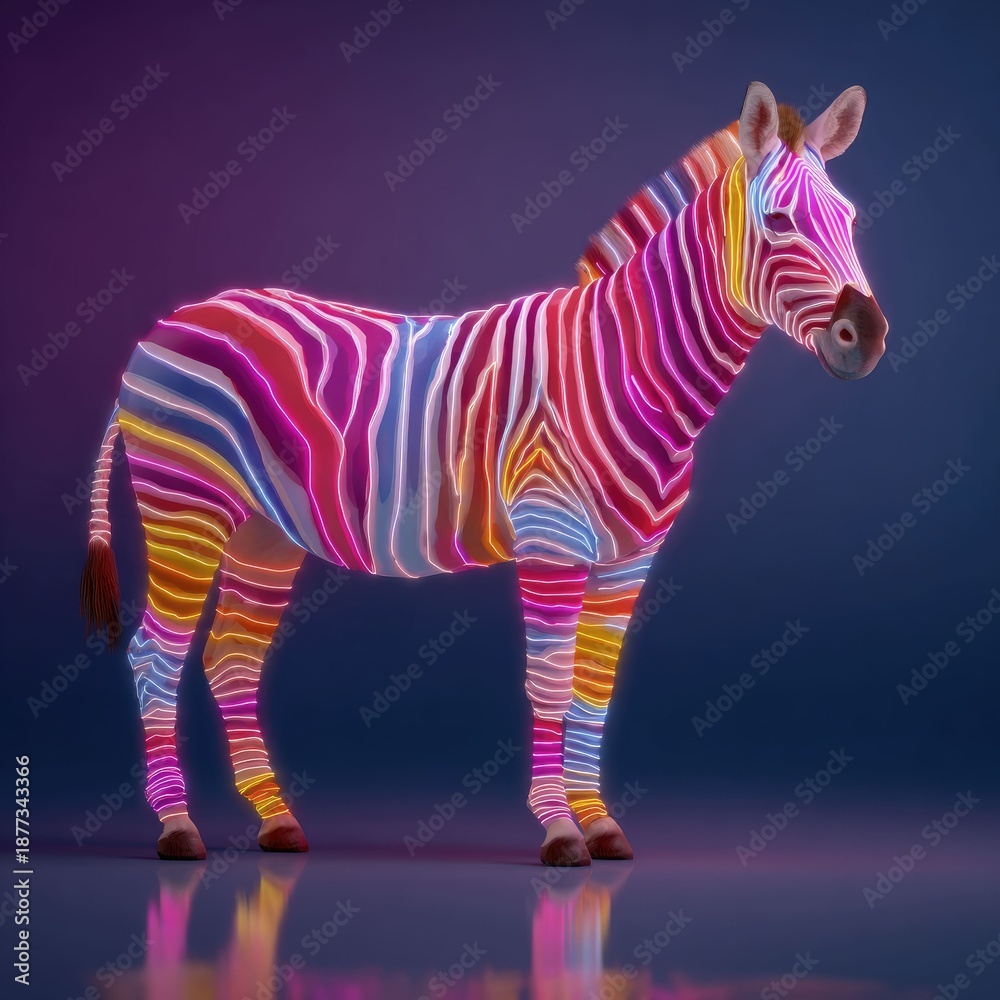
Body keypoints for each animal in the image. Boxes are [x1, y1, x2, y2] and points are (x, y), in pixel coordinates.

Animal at [80, 82, 888, 865]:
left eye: (851, 219)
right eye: (779, 221)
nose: (870, 338)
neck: (625, 370)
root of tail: (166, 326)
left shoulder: (630, 560)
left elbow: (595, 690)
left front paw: (601, 824)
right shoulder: (552, 539)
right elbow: (551, 686)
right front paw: (560, 831)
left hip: (263, 531)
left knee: (232, 663)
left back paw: (277, 821)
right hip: (185, 506)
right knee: (155, 658)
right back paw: (177, 828)